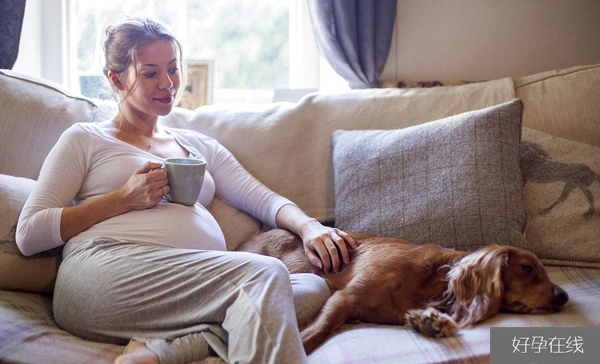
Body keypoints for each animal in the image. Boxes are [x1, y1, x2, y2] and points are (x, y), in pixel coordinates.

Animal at [237, 230, 568, 352]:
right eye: (527, 268)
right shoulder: (344, 298)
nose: (564, 296)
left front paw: (432, 322)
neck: (431, 280)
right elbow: (318, 330)